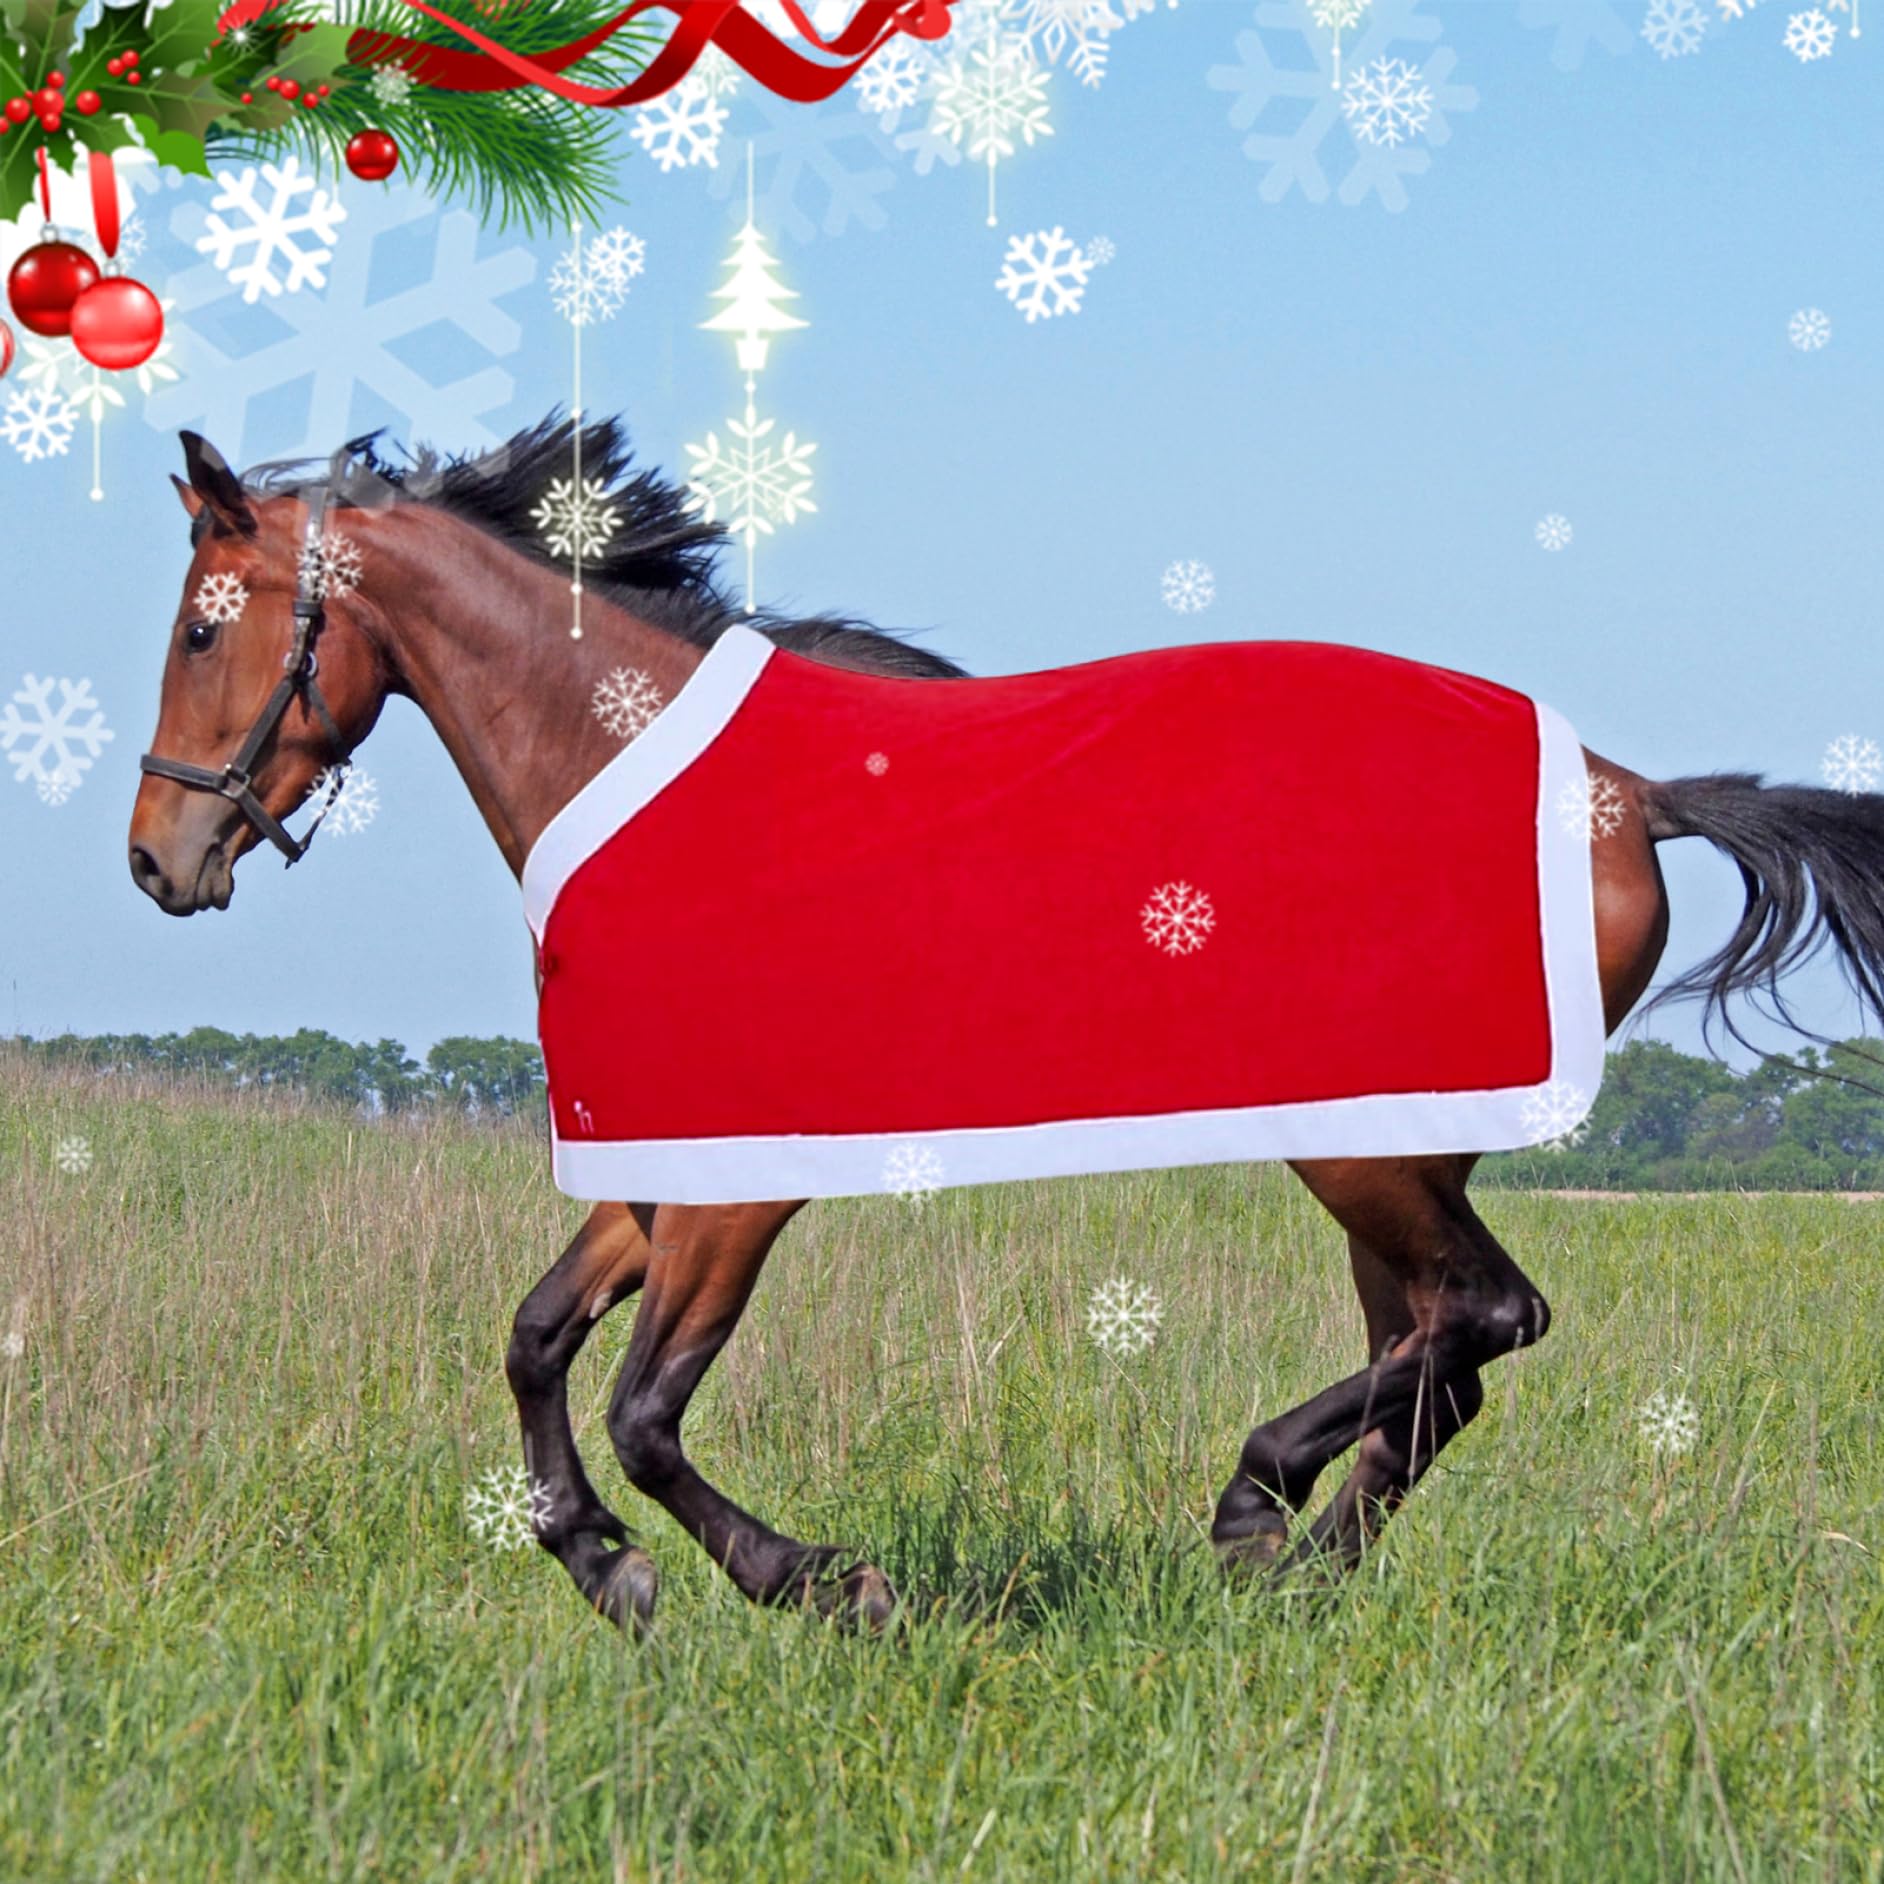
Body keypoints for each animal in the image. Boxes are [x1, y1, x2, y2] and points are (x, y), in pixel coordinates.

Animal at [128, 415, 1884, 1632]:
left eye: (206, 626)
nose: (158, 860)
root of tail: (1627, 794)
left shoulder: (740, 1192)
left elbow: (643, 1411)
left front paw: (815, 1580)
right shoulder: (660, 1170)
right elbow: (535, 1341)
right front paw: (602, 1567)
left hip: (1365, 1149)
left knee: (1484, 1323)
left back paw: (1258, 1507)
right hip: (1393, 1156)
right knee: (1439, 1352)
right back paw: (1302, 1567)